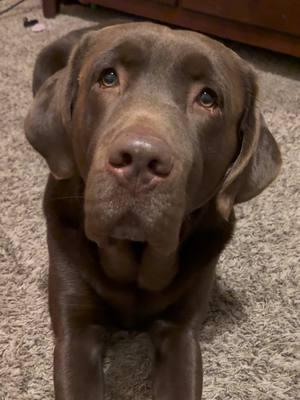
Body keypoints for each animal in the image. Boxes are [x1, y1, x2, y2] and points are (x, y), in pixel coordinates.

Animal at [25, 22, 282, 400]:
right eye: (108, 77)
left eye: (208, 98)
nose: (140, 159)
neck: (135, 261)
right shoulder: (76, 328)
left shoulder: (181, 333)